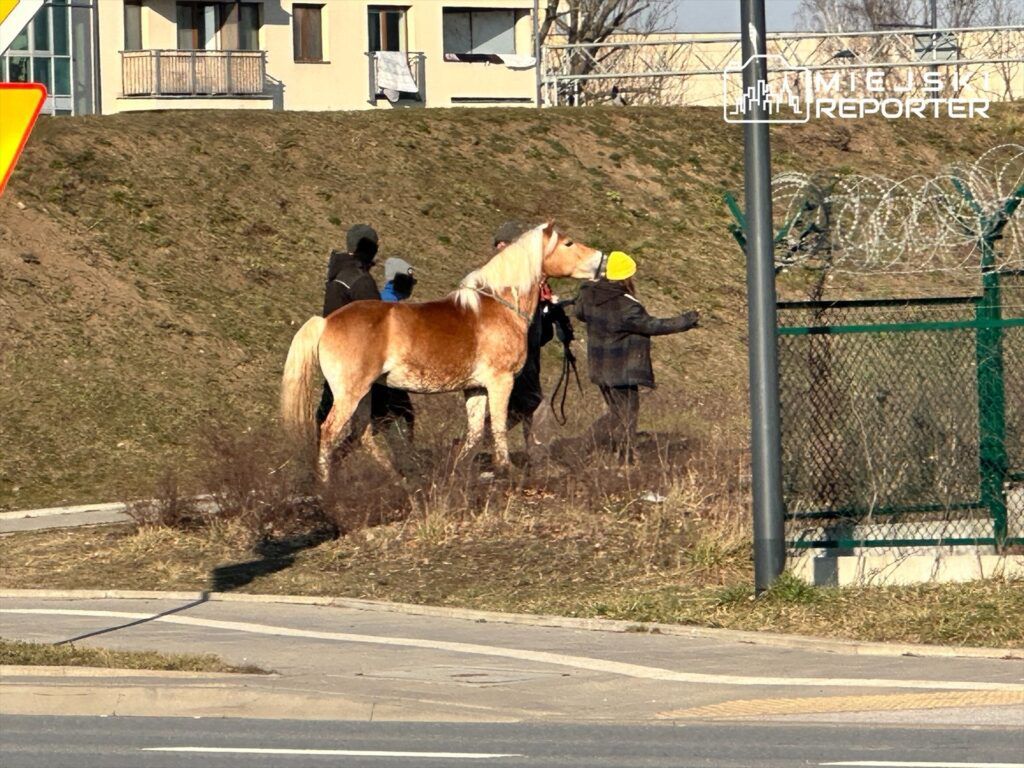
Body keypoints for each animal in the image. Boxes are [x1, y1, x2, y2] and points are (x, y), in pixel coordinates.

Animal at [282, 221, 598, 481]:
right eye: (568, 243)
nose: (598, 261)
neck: (499, 306)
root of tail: (326, 322)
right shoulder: (501, 382)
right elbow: (497, 426)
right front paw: (505, 469)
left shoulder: (475, 388)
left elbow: (475, 432)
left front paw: (456, 471)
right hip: (351, 394)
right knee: (330, 432)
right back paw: (328, 486)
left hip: (364, 394)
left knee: (362, 434)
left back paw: (397, 478)